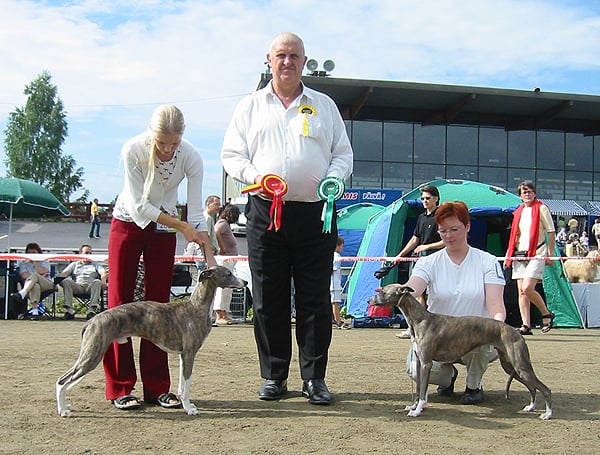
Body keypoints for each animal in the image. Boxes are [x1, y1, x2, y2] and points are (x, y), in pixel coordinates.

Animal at [56, 265, 246, 417]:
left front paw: (185, 404)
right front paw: (189, 409)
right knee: (61, 381)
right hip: (92, 355)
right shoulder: (189, 354)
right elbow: (187, 385)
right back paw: (63, 410)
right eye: (229, 273)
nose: (245, 282)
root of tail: (91, 321)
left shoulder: (183, 355)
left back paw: (64, 408)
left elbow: (181, 385)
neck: (196, 307)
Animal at [369, 285, 552, 420]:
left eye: (382, 292)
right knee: (532, 387)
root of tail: (515, 331)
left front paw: (417, 410)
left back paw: (547, 414)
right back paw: (531, 407)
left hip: (520, 365)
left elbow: (422, 392)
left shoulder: (426, 363)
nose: (369, 300)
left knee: (545, 389)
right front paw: (413, 406)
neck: (420, 320)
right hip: (510, 365)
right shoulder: (419, 363)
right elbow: (420, 387)